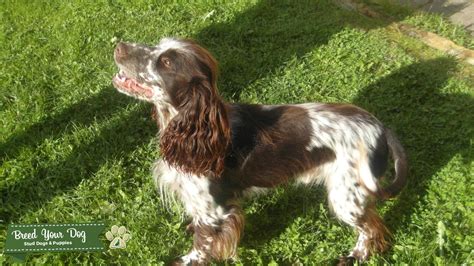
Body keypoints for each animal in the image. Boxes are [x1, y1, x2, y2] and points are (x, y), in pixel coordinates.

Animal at [112, 37, 408, 264]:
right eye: (158, 45)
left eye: (166, 62)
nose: (119, 46)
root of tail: (381, 127)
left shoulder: (216, 210)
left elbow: (202, 243)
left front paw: (188, 259)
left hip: (346, 196)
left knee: (371, 227)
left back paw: (357, 256)